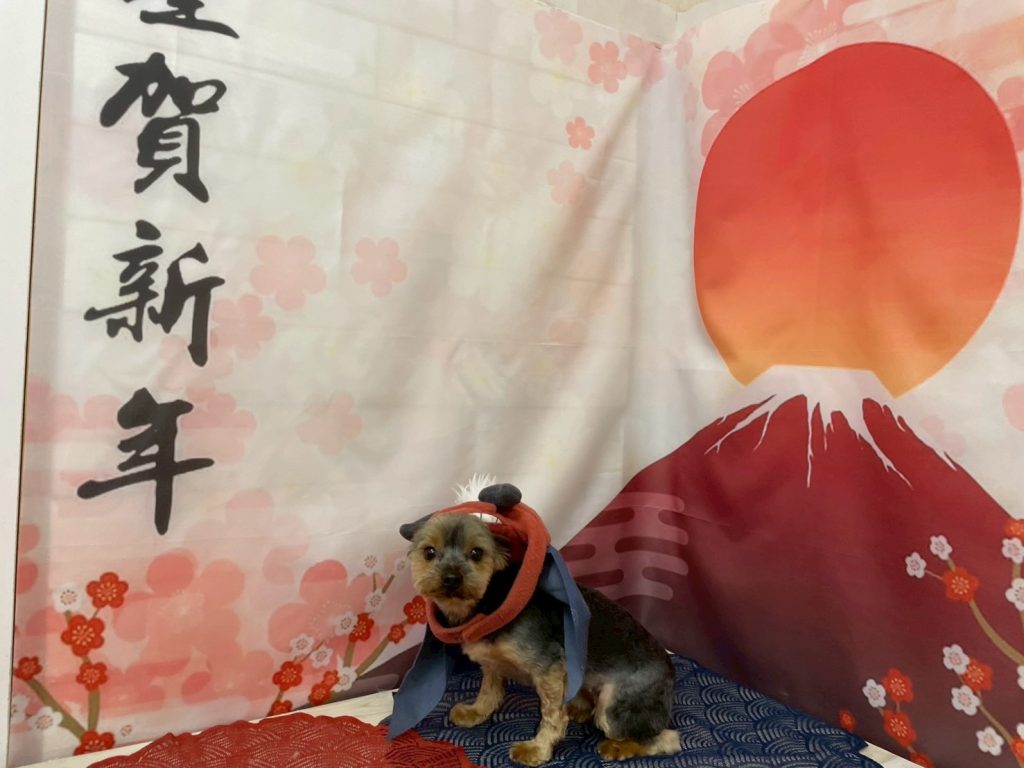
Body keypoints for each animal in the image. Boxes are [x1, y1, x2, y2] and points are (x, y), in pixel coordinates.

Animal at [401, 509, 681, 766]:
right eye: (429, 552)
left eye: (476, 553)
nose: (451, 578)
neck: (489, 605)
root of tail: (670, 668)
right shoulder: (492, 663)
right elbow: (488, 691)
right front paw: (475, 712)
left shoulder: (549, 667)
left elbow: (552, 715)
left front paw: (537, 748)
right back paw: (579, 707)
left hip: (618, 703)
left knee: (664, 738)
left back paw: (618, 746)